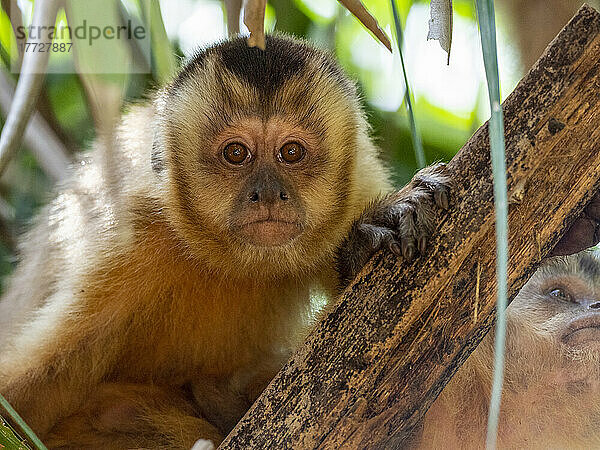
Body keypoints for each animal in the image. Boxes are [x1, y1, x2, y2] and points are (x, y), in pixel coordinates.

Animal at [0, 33, 452, 448]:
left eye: (291, 152)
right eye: (236, 154)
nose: (267, 193)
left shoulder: (358, 184)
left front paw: (362, 242)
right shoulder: (127, 238)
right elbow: (36, 390)